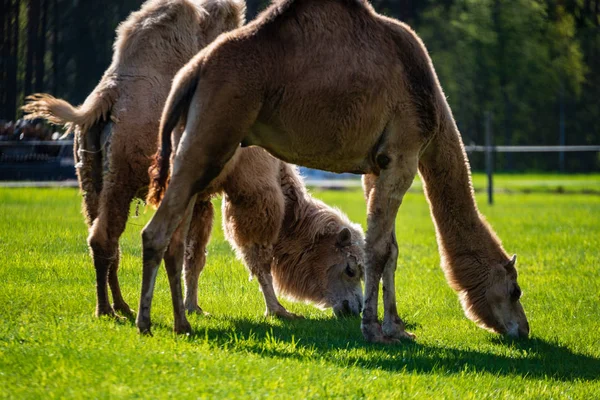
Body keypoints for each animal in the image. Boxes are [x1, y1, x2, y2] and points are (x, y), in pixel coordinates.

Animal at [22, 0, 245, 318]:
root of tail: (107, 95)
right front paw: (194, 308)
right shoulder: (198, 193)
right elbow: (194, 252)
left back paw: (120, 306)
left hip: (90, 175)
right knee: (106, 237)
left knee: (103, 237)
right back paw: (108, 309)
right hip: (122, 176)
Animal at [144, 0, 528, 344]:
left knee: (177, 235)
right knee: (156, 231)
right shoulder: (403, 152)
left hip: (192, 137)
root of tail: (192, 71)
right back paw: (146, 323)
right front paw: (374, 330)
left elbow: (391, 249)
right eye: (515, 290)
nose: (523, 329)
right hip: (216, 128)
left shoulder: (377, 165)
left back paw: (182, 323)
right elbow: (379, 249)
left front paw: (397, 328)